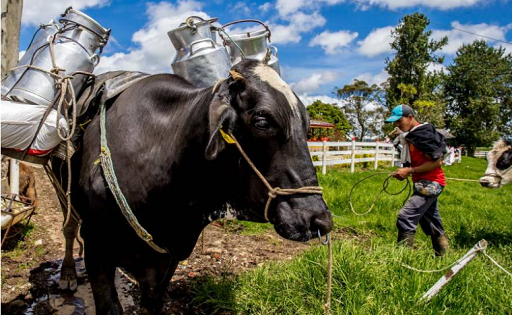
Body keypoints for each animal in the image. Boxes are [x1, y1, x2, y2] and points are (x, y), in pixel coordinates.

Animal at [57, 60, 336, 314]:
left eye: (307, 125)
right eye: (262, 122)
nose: (320, 220)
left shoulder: (168, 259)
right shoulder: (96, 249)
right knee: (69, 227)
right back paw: (67, 275)